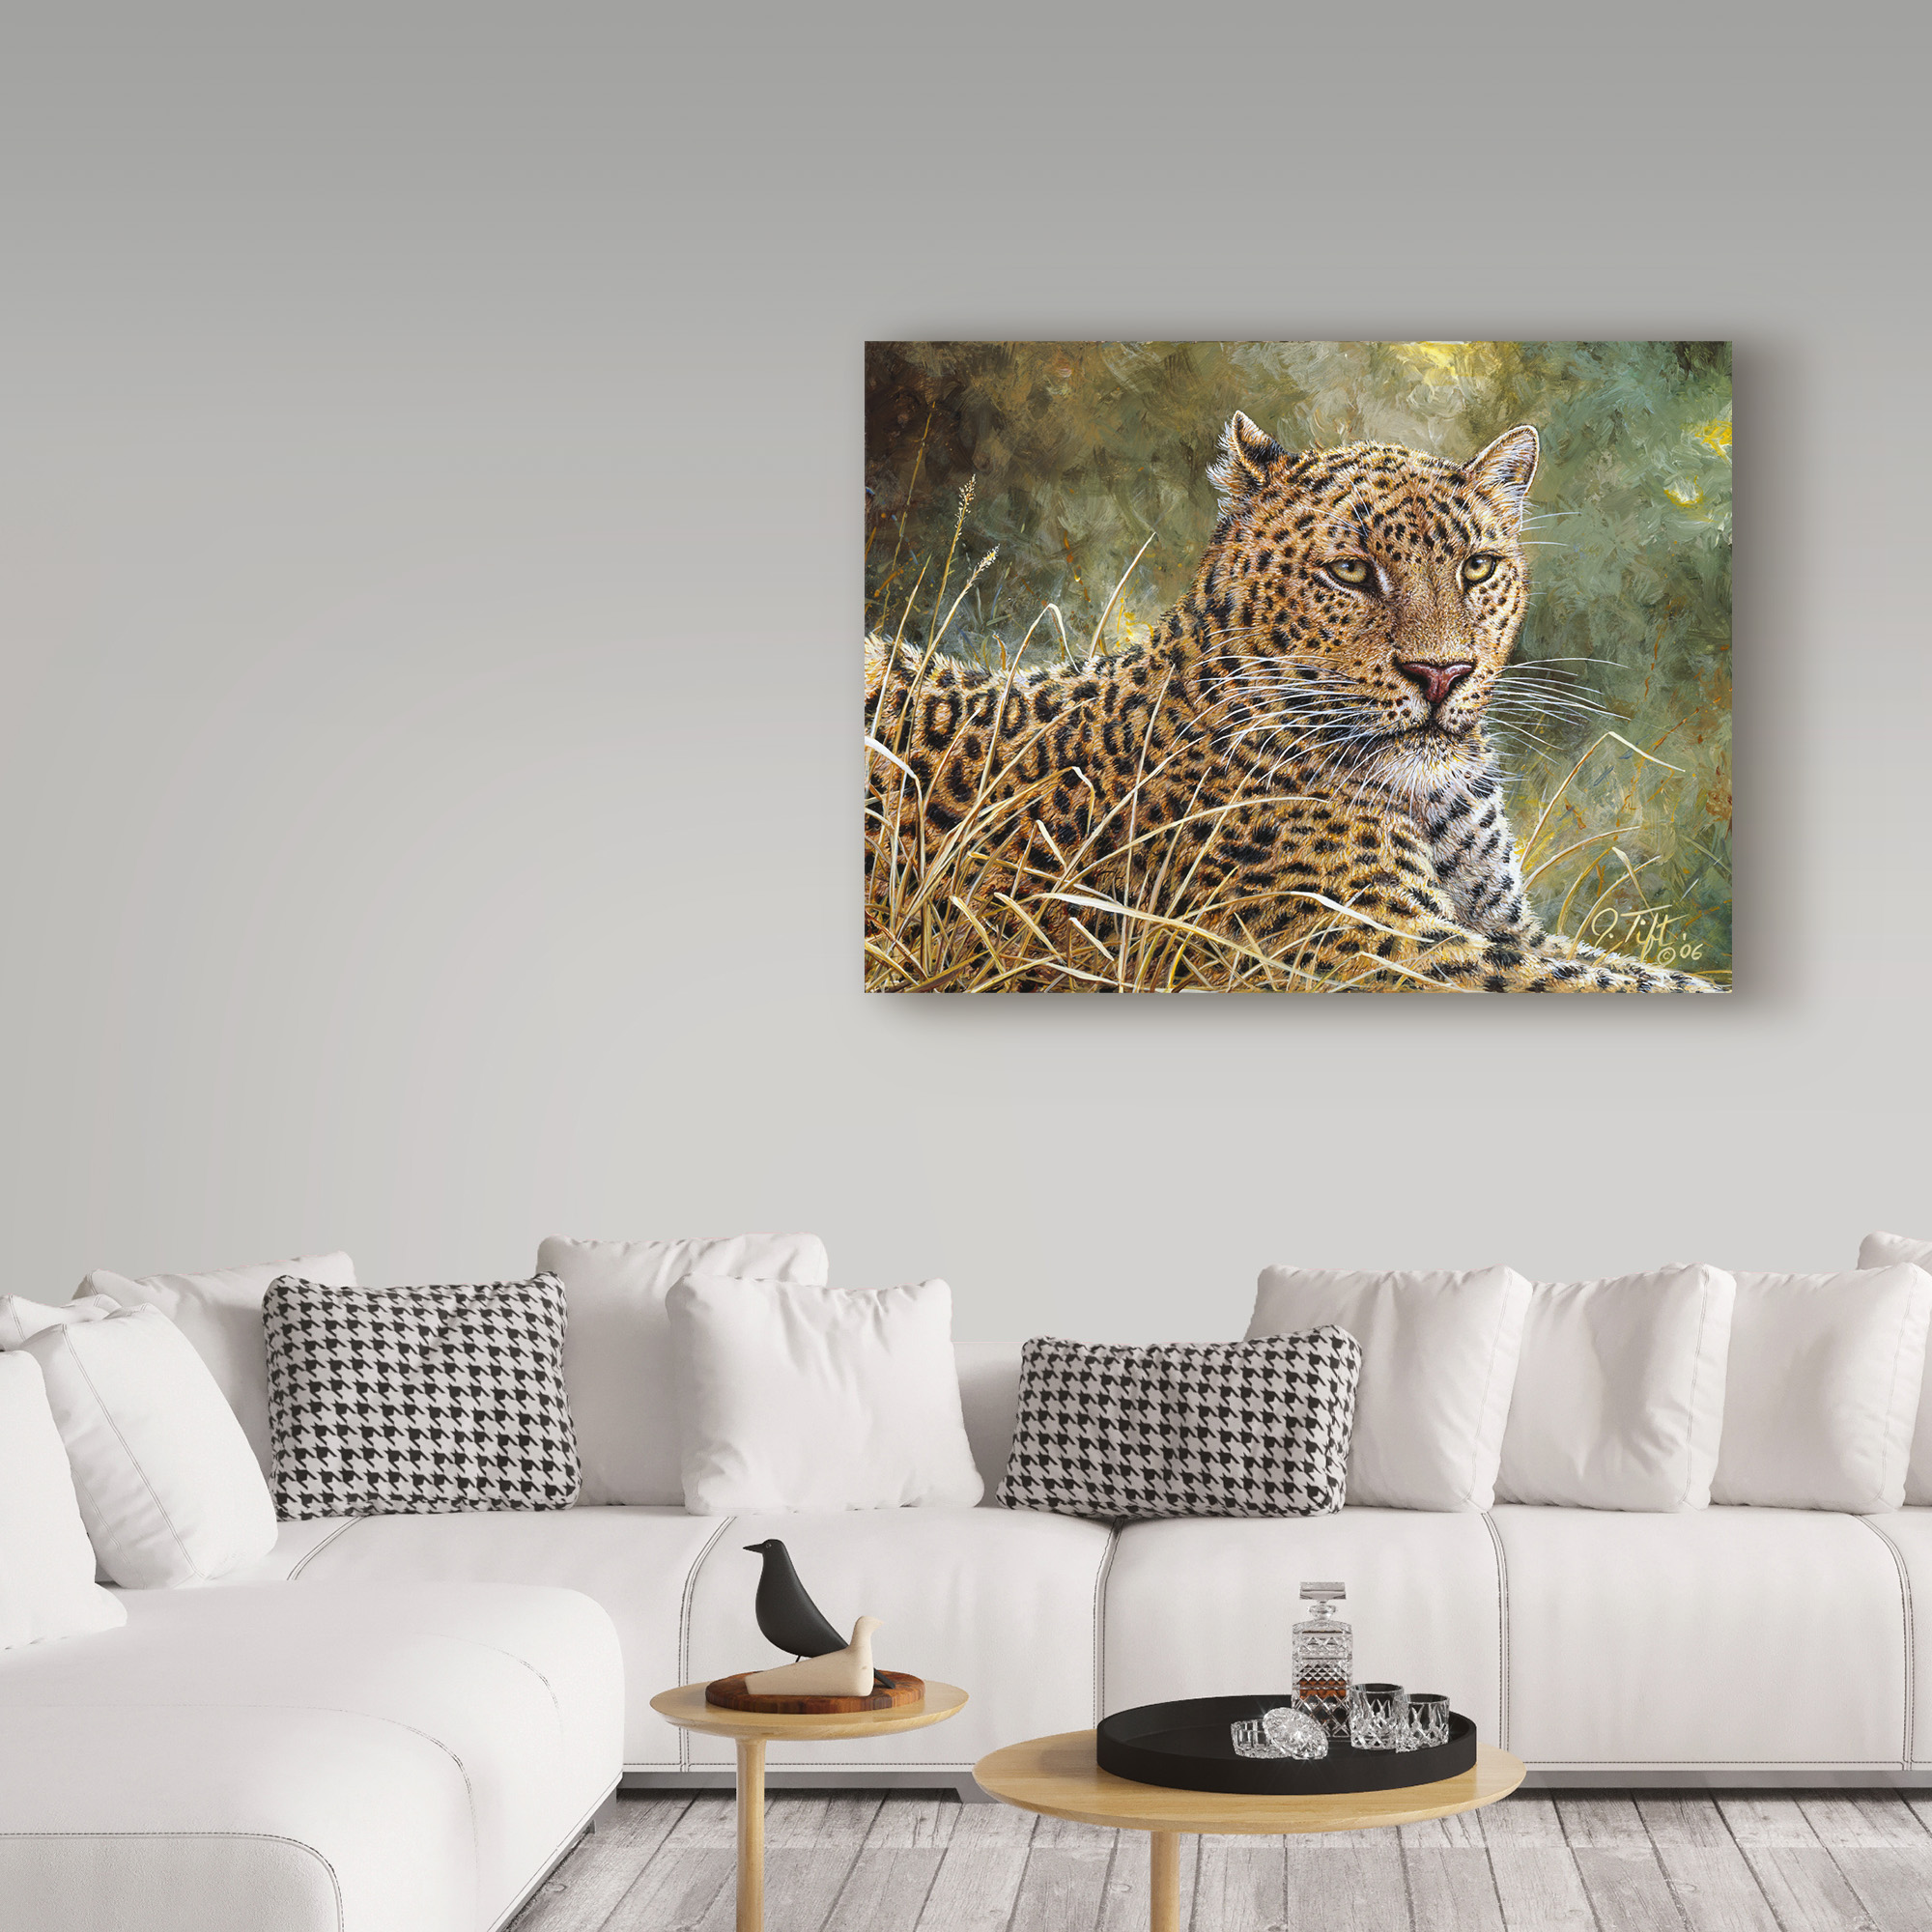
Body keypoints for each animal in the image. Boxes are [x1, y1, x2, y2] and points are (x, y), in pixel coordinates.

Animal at [865, 413, 1721, 992]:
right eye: (1351, 571)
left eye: (1477, 568)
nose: (1440, 674)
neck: (1429, 799)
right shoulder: (1389, 948)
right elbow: (1635, 985)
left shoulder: (1505, 928)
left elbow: (1641, 972)